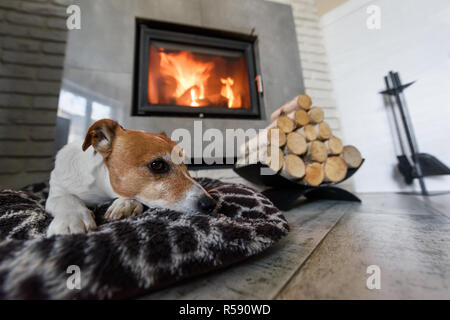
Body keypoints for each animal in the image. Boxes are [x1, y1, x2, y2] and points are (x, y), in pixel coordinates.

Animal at [45, 119, 216, 236]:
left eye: (186, 166)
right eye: (157, 165)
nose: (210, 204)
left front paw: (125, 204)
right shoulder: (57, 190)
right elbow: (67, 198)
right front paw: (73, 219)